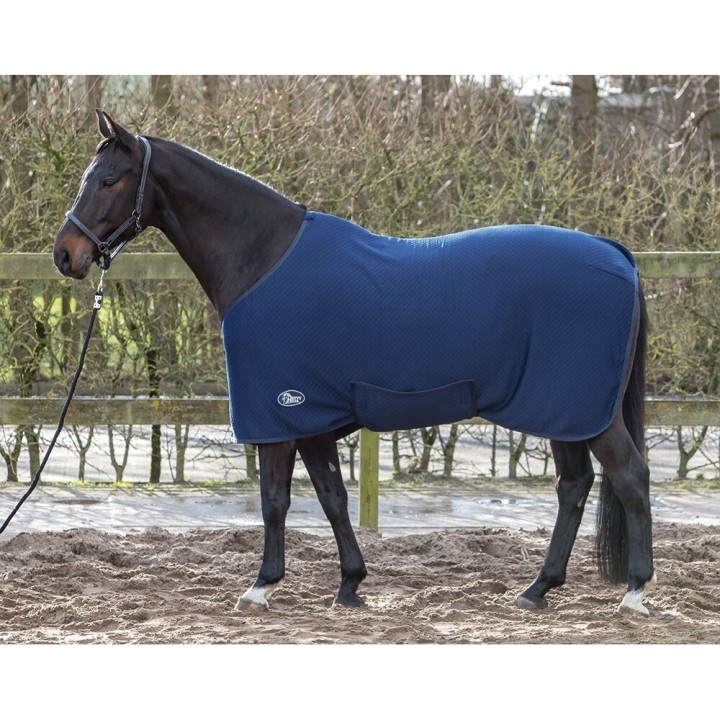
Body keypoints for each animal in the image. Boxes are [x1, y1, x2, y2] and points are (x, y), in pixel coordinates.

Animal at [53, 110, 656, 616]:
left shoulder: (280, 415)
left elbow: (275, 501)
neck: (263, 258)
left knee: (629, 476)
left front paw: (262, 586)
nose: (65, 255)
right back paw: (537, 589)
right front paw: (350, 585)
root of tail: (616, 252)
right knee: (574, 486)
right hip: (565, 413)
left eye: (109, 180)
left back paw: (634, 592)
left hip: (583, 411)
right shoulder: (311, 418)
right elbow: (333, 499)